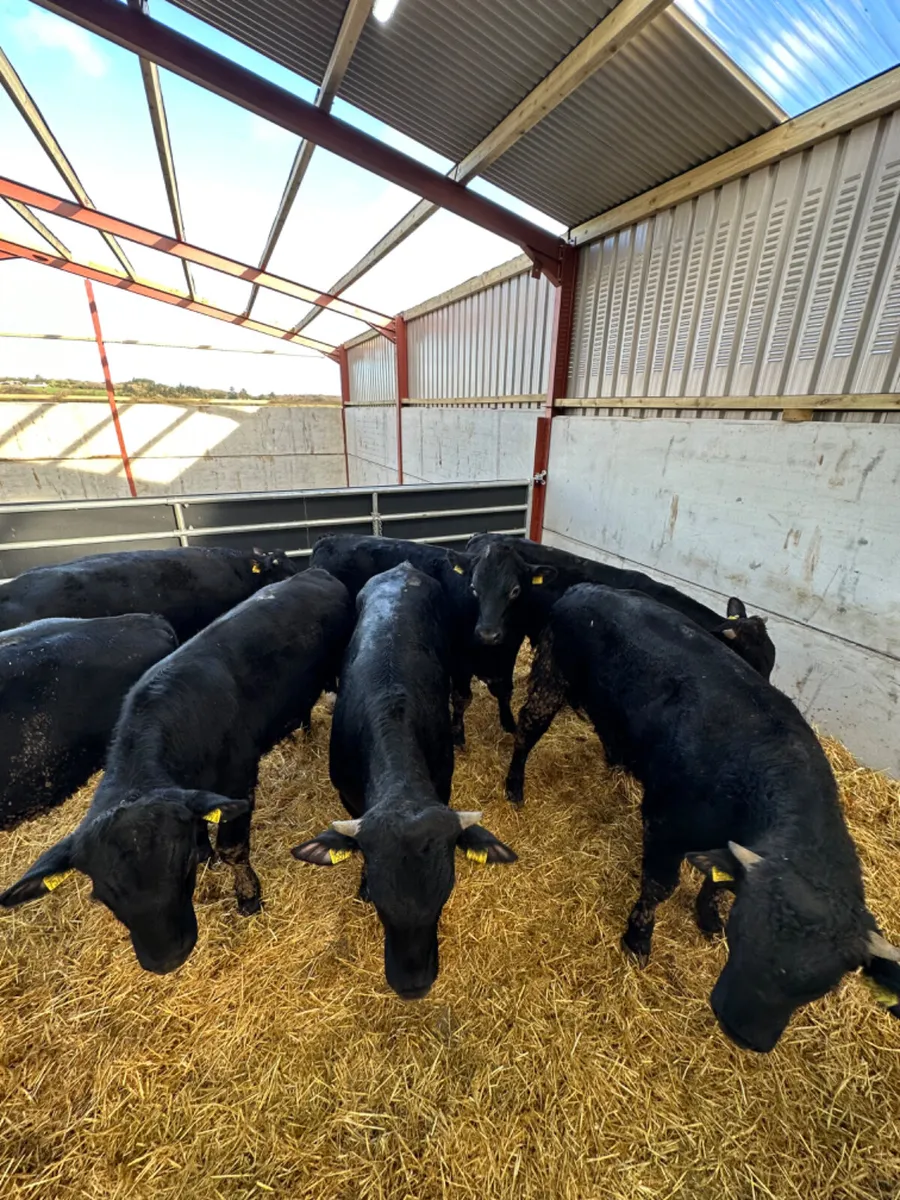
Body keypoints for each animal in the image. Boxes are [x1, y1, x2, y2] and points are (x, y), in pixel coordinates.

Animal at [310, 534, 519, 744]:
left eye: (515, 591)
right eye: (474, 588)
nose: (488, 632)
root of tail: (328, 540)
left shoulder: (508, 656)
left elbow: (505, 691)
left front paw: (509, 724)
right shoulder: (460, 661)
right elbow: (462, 698)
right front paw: (458, 735)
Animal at [504, 583, 900, 1052]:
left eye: (822, 986)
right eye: (744, 936)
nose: (743, 1032)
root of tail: (586, 587)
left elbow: (718, 880)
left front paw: (707, 915)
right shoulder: (665, 825)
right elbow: (659, 887)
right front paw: (637, 940)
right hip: (551, 677)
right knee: (528, 729)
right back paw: (514, 785)